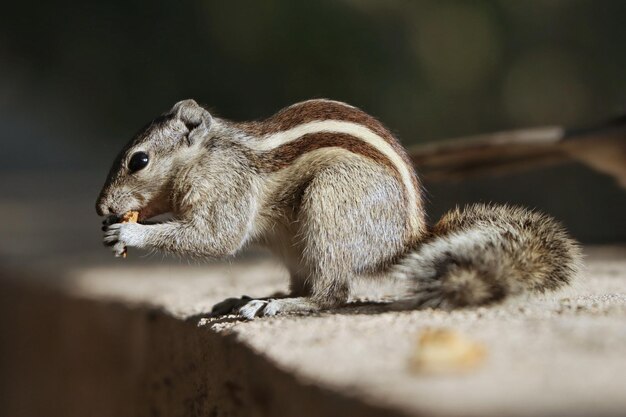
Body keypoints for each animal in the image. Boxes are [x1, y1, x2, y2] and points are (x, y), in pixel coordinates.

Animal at [96, 98, 580, 318]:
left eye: (138, 161)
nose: (101, 208)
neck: (206, 154)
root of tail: (407, 240)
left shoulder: (225, 187)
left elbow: (216, 237)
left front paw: (131, 231)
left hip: (330, 202)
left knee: (331, 294)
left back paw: (277, 306)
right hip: (294, 242)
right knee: (306, 283)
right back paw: (255, 298)